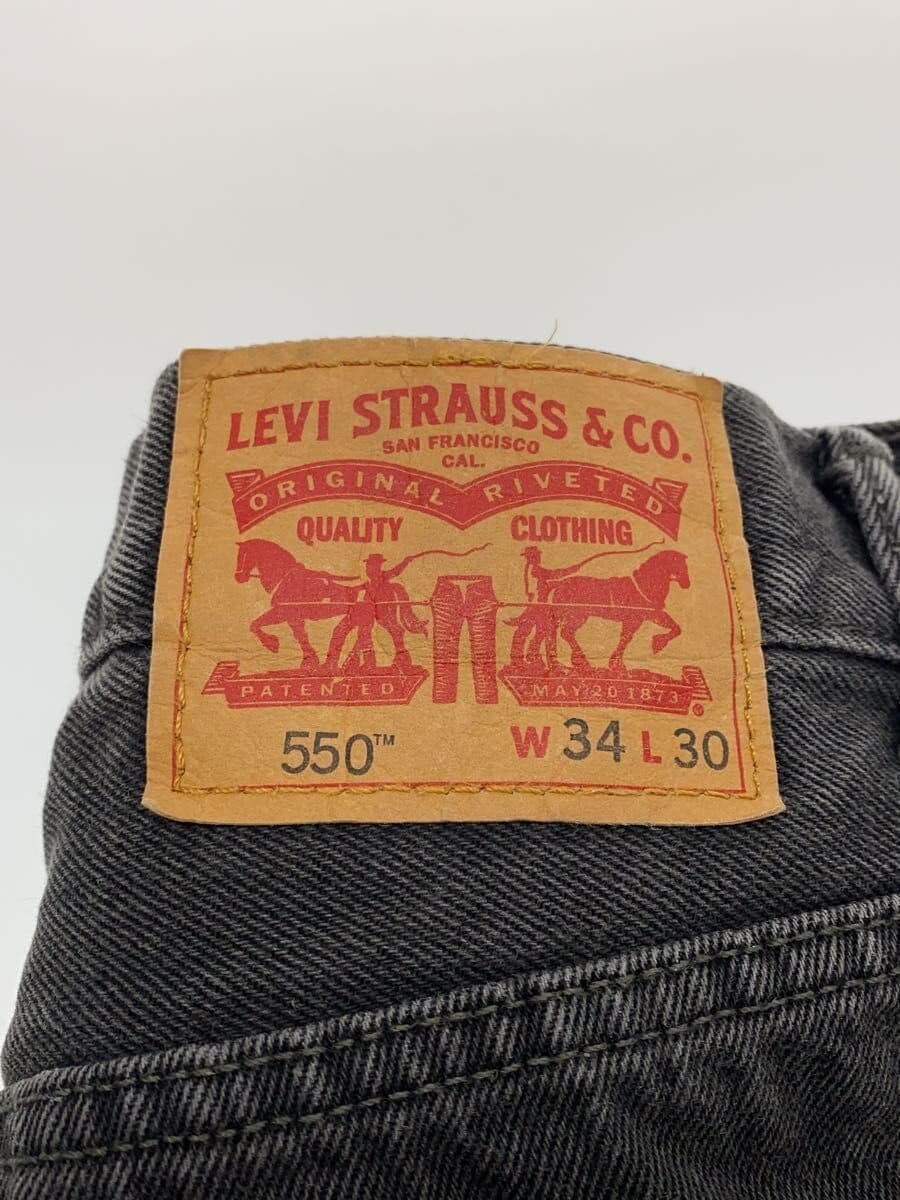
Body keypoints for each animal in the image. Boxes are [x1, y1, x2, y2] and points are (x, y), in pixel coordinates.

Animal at [543, 549, 690, 673]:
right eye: (680, 564)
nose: (686, 584)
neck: (644, 586)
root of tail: (559, 583)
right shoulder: (636, 619)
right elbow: (627, 637)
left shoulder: (650, 615)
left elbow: (675, 627)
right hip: (577, 616)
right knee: (565, 633)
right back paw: (579, 663)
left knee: (557, 632)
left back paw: (561, 664)